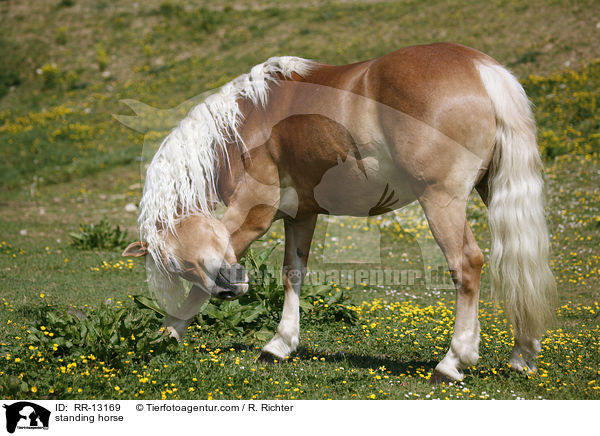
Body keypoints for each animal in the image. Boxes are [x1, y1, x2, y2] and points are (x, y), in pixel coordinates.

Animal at [123, 41, 556, 382]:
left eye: (176, 264)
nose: (230, 288)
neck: (245, 124)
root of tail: (481, 69)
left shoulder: (253, 213)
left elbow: (206, 281)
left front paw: (167, 332)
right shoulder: (300, 216)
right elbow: (292, 274)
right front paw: (280, 344)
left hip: (441, 201)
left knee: (467, 264)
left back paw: (452, 362)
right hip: (490, 190)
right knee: (517, 265)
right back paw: (522, 355)